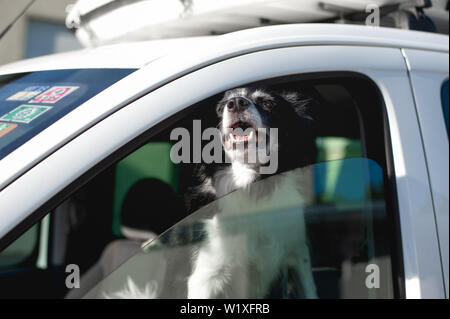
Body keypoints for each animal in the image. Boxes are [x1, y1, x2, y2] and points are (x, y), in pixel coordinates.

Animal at [186, 88, 320, 300]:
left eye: (267, 103)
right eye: (220, 108)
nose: (236, 103)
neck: (252, 186)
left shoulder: (298, 253)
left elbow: (310, 291)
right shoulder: (203, 279)